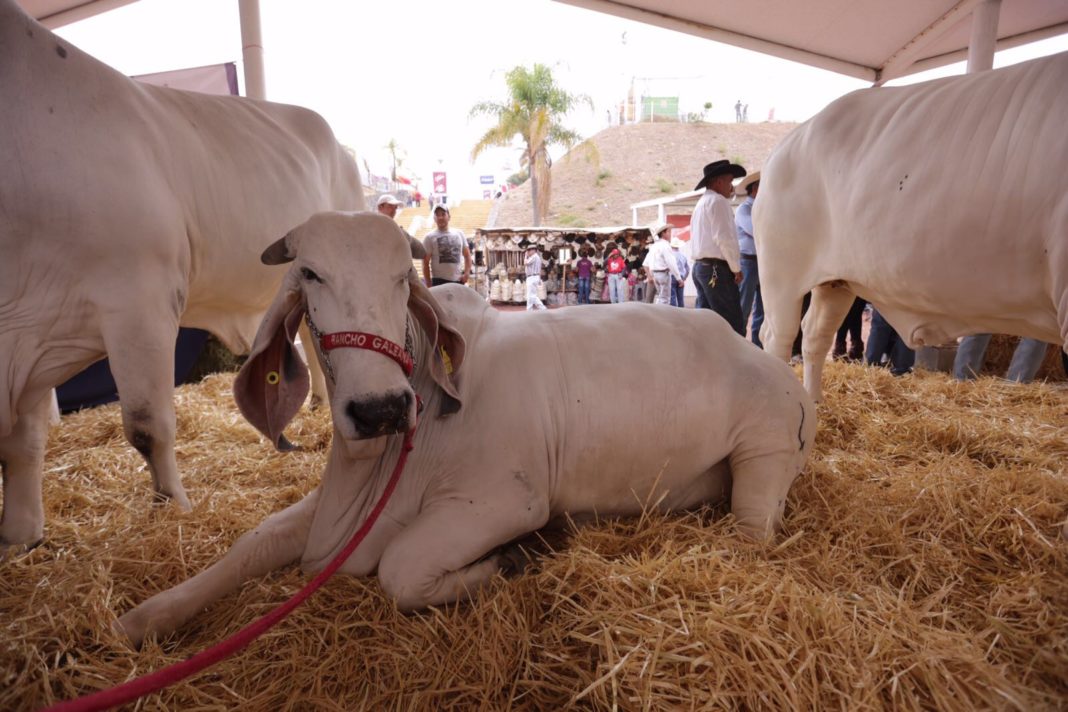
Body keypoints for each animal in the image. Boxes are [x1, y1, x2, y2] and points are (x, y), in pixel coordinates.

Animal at [1, 0, 363, 550]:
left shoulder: (139, 302)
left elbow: (148, 427)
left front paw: (171, 507)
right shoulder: (34, 332)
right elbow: (23, 443)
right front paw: (20, 536)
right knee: (309, 338)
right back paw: (320, 404)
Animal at [116, 211, 811, 644]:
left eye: (403, 278)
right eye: (310, 274)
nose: (380, 408)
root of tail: (767, 362)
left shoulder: (503, 501)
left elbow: (400, 569)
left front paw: (509, 561)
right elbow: (252, 543)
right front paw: (146, 617)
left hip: (765, 453)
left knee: (751, 532)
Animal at [756, 52, 1063, 401]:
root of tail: (787, 143)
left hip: (835, 283)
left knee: (814, 336)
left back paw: (814, 404)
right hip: (780, 274)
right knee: (777, 337)